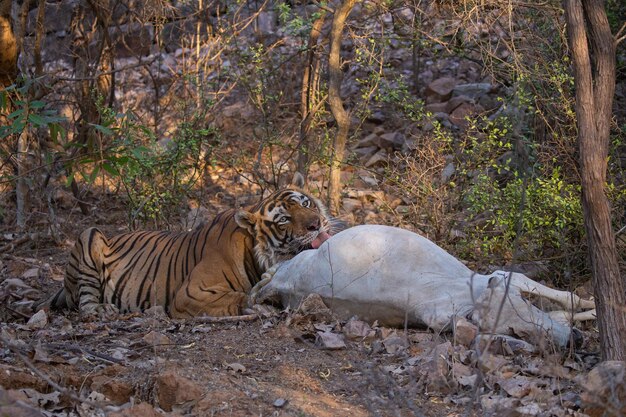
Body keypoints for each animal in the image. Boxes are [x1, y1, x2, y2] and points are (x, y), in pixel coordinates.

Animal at [34, 173, 334, 318]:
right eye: (284, 219)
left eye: (306, 203)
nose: (316, 224)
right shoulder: (191, 293)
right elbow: (238, 296)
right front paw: (259, 300)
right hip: (89, 235)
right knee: (85, 305)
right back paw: (102, 310)